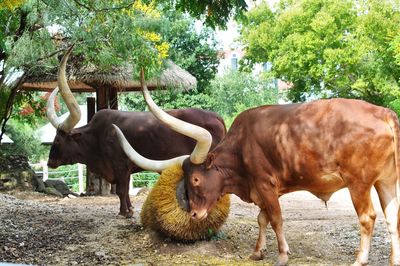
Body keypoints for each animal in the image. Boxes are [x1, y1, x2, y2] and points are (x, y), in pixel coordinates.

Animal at [47, 47, 227, 218]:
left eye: (58, 141)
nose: (49, 162)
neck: (97, 136)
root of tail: (215, 116)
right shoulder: (125, 169)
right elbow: (125, 190)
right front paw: (130, 209)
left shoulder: (121, 166)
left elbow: (121, 190)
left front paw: (124, 212)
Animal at [112, 69, 400, 264]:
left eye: (195, 180)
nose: (194, 215)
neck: (241, 147)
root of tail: (383, 113)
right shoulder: (260, 189)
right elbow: (262, 218)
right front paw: (257, 251)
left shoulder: (265, 184)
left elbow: (276, 218)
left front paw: (282, 255)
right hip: (386, 181)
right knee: (392, 217)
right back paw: (393, 260)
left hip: (359, 183)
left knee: (368, 217)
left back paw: (360, 259)